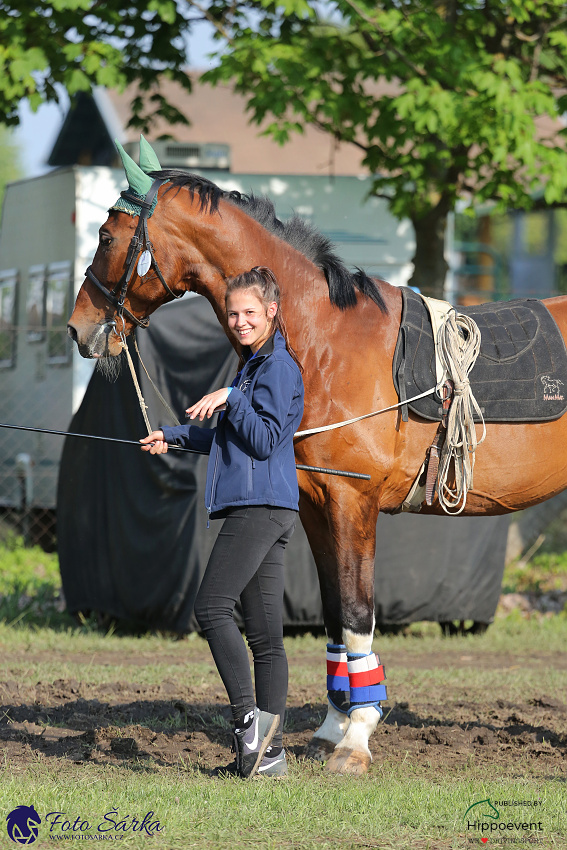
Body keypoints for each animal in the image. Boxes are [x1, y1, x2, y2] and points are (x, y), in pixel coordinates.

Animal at [69, 141, 567, 776]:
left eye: (107, 235)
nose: (78, 328)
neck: (327, 341)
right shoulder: (315, 505)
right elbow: (333, 616)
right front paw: (332, 728)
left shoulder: (354, 503)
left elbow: (356, 616)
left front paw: (356, 739)